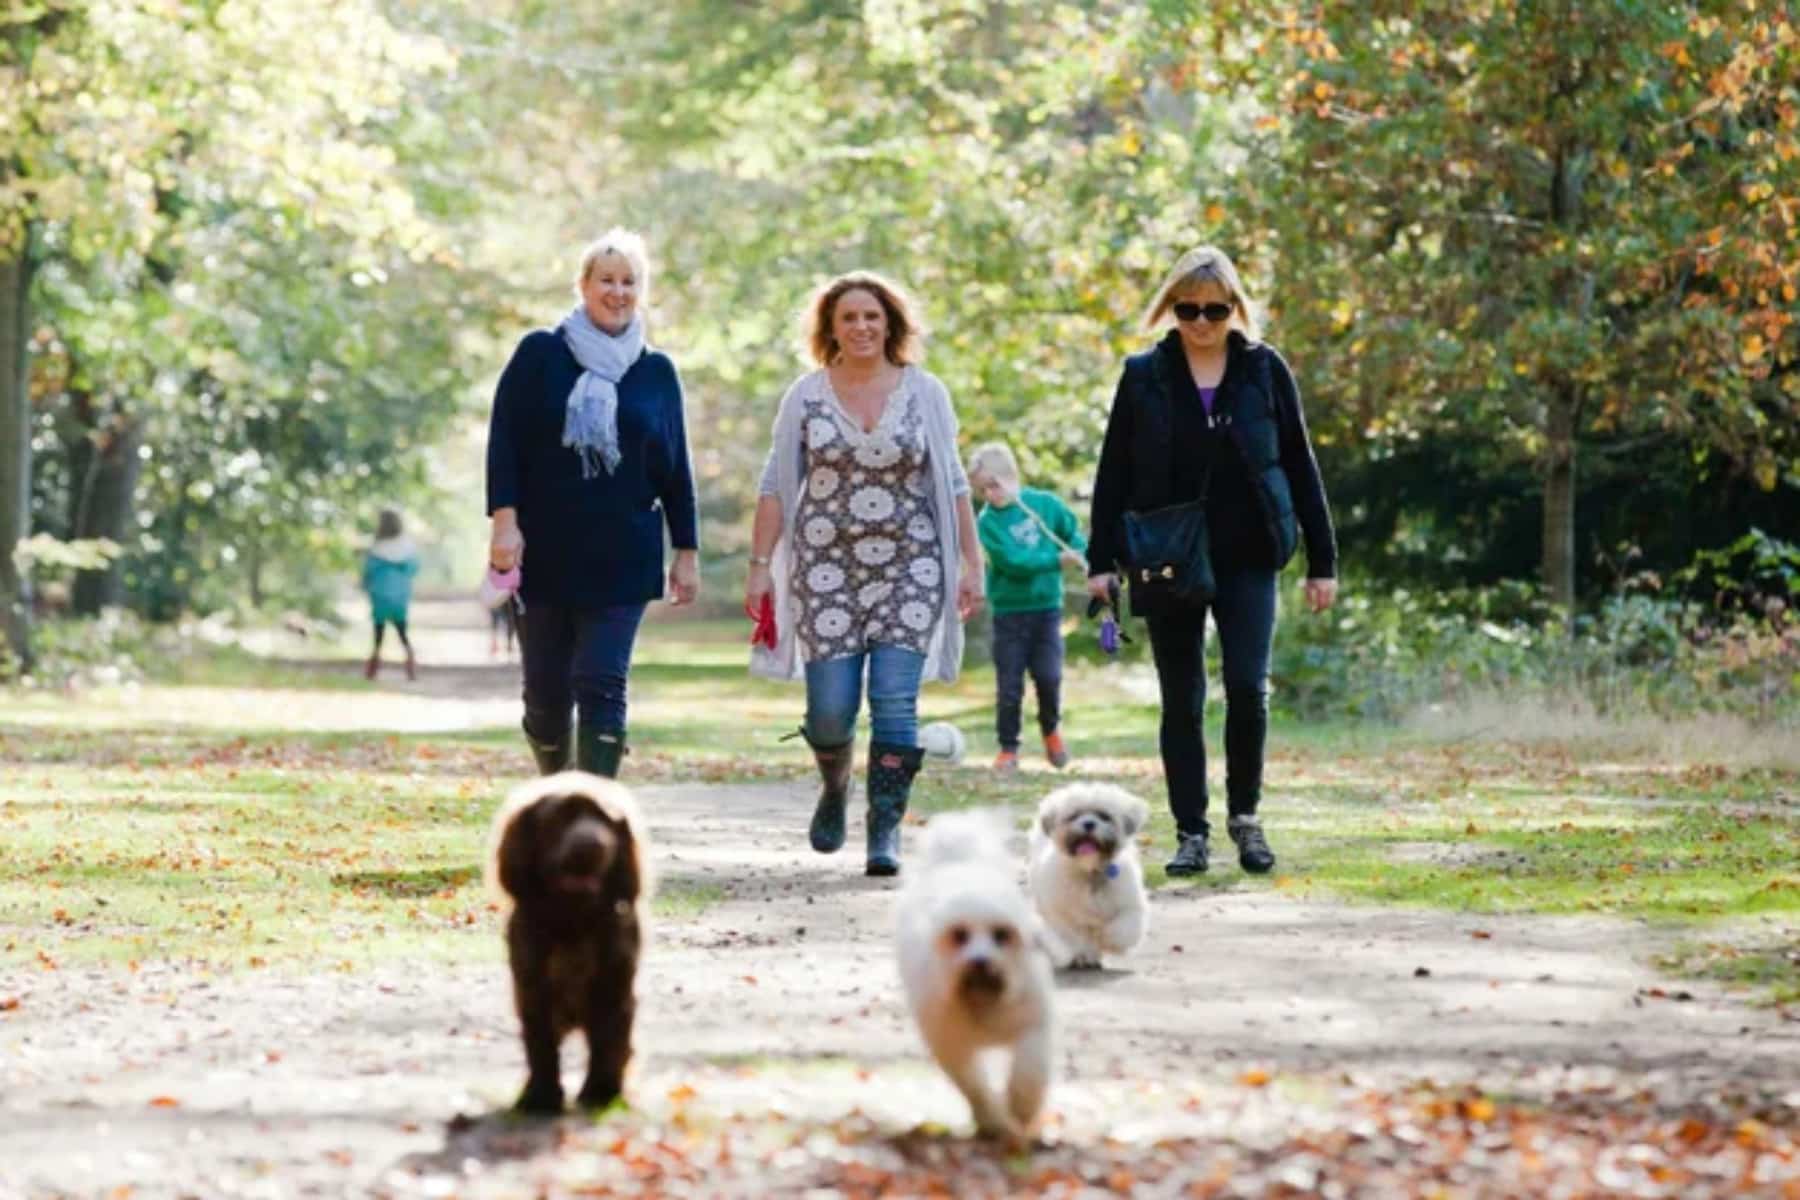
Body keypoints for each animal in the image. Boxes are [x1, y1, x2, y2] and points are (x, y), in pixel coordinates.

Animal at [486, 770, 648, 1115]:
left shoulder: (614, 989)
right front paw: (541, 1096)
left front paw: (601, 1093)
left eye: (605, 819)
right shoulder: (533, 990)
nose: (593, 843)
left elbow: (608, 1043)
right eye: (559, 818)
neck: (573, 921)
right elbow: (541, 1046)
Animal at [896, 805, 1051, 1144]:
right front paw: (994, 1122)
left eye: (1002, 934)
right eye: (959, 935)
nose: (980, 961)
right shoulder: (952, 1042)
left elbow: (1029, 1071)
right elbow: (974, 1086)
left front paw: (1021, 1110)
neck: (983, 997)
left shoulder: (1032, 1025)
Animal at [1036, 784, 1144, 971]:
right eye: (1074, 815)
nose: (1088, 824)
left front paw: (1109, 940)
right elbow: (1075, 935)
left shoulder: (1130, 905)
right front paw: (1083, 955)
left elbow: (1124, 928)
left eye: (1104, 816)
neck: (1089, 871)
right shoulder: (1064, 914)